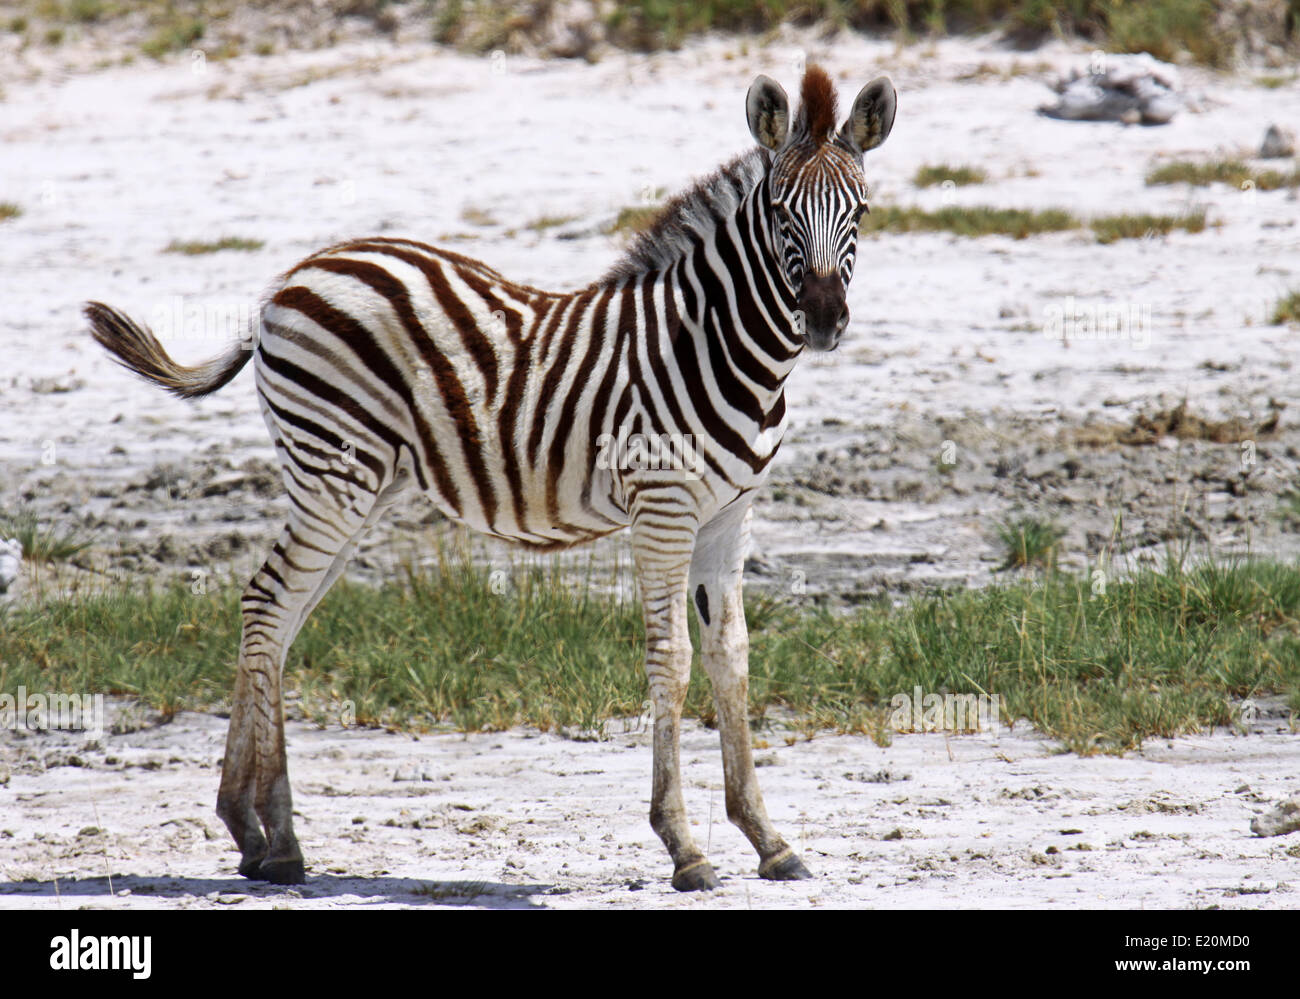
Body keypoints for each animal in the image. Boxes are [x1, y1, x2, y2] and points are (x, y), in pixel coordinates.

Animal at [89, 64, 894, 889]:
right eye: (781, 212)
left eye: (861, 211)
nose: (824, 320)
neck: (714, 344)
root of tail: (287, 282)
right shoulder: (662, 507)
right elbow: (670, 658)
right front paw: (684, 845)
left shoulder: (730, 512)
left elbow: (730, 656)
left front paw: (768, 837)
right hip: (333, 473)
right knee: (267, 602)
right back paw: (270, 836)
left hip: (354, 485)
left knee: (282, 615)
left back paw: (256, 835)